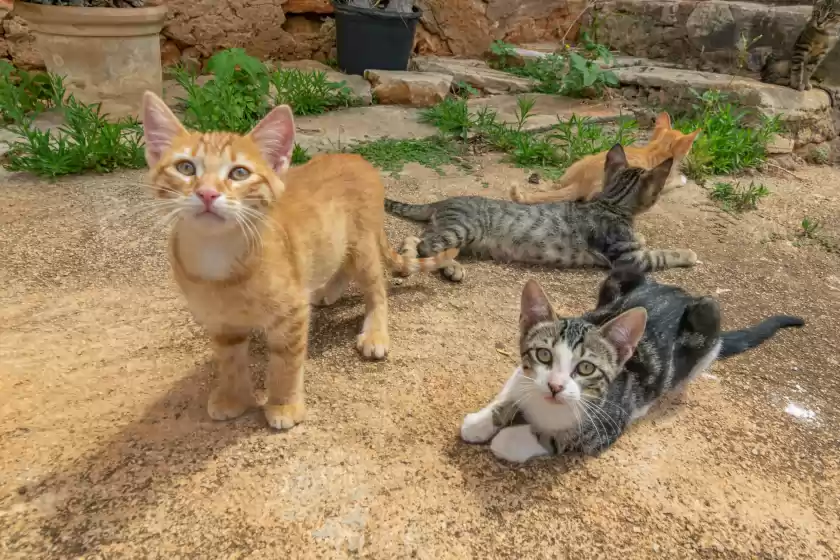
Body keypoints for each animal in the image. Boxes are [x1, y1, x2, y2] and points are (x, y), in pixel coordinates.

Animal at [143, 92, 460, 428]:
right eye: (185, 167)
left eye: (239, 173)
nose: (206, 193)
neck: (218, 255)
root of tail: (357, 158)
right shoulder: (221, 320)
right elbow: (229, 360)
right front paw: (232, 397)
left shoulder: (292, 312)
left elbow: (286, 363)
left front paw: (283, 406)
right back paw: (328, 290)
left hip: (362, 244)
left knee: (376, 289)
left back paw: (375, 332)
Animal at [386, 144, 696, 284]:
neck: (610, 203)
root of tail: (444, 201)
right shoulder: (628, 259)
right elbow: (661, 254)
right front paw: (688, 254)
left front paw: (642, 236)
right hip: (463, 229)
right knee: (428, 244)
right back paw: (452, 267)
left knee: (414, 240)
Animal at [462, 270, 804, 462]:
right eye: (544, 356)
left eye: (585, 368)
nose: (555, 386)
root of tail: (680, 291)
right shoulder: (523, 375)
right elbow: (510, 392)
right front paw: (481, 422)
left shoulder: (607, 427)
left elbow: (555, 439)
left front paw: (508, 439)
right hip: (619, 275)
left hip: (709, 311)